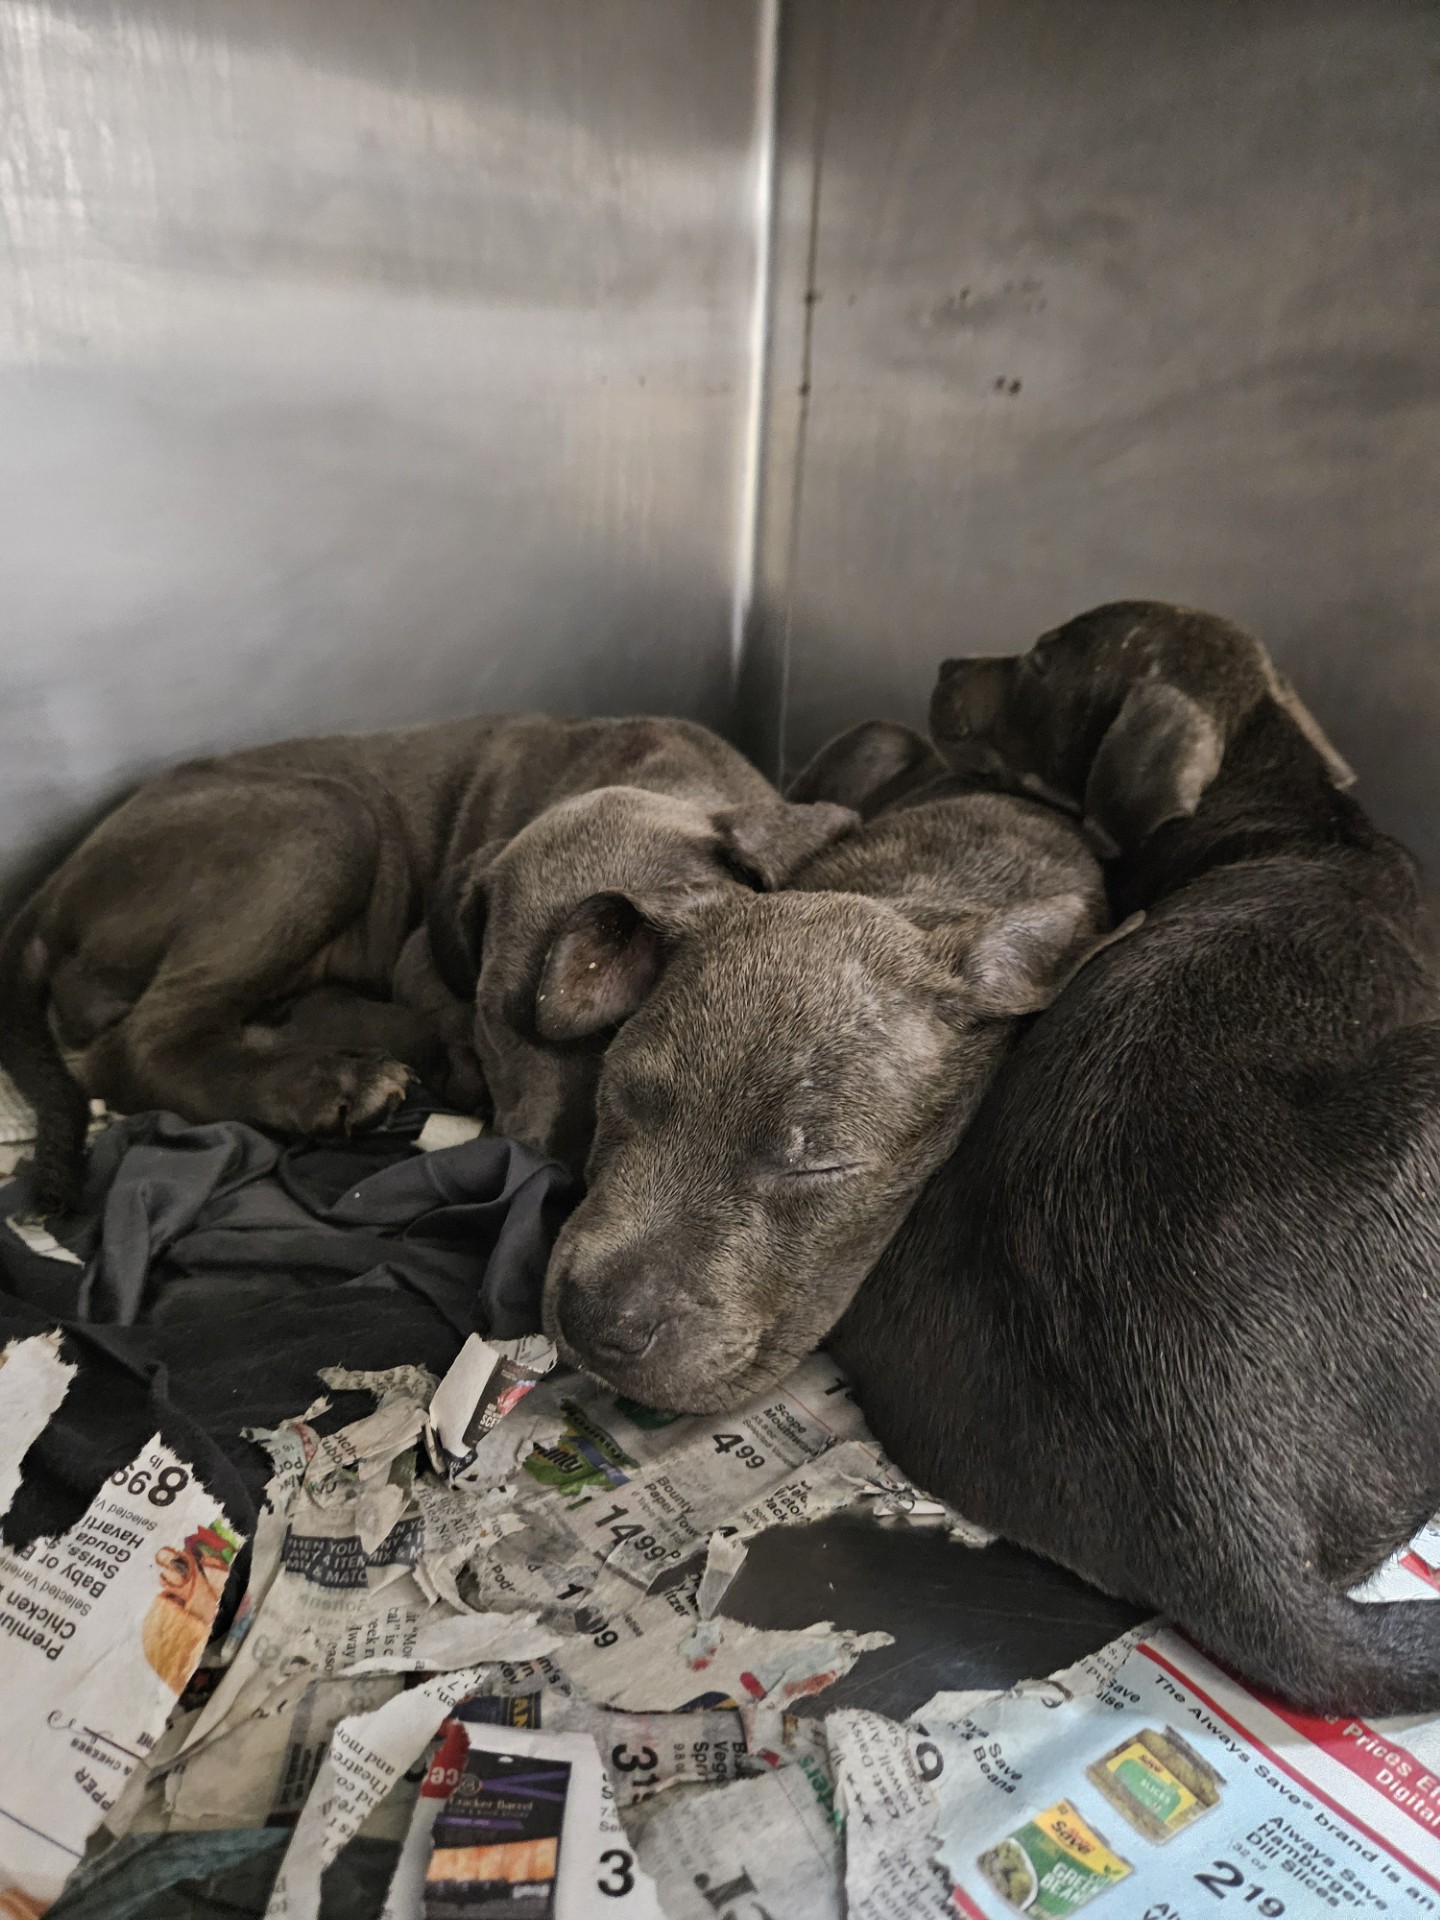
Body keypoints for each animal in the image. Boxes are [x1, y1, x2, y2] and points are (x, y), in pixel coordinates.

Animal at [0, 714, 856, 1205]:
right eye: (493, 1020)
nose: (529, 1166)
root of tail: (51, 889)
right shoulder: (421, 955)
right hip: (323, 819)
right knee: (140, 1044)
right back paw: (329, 1084)